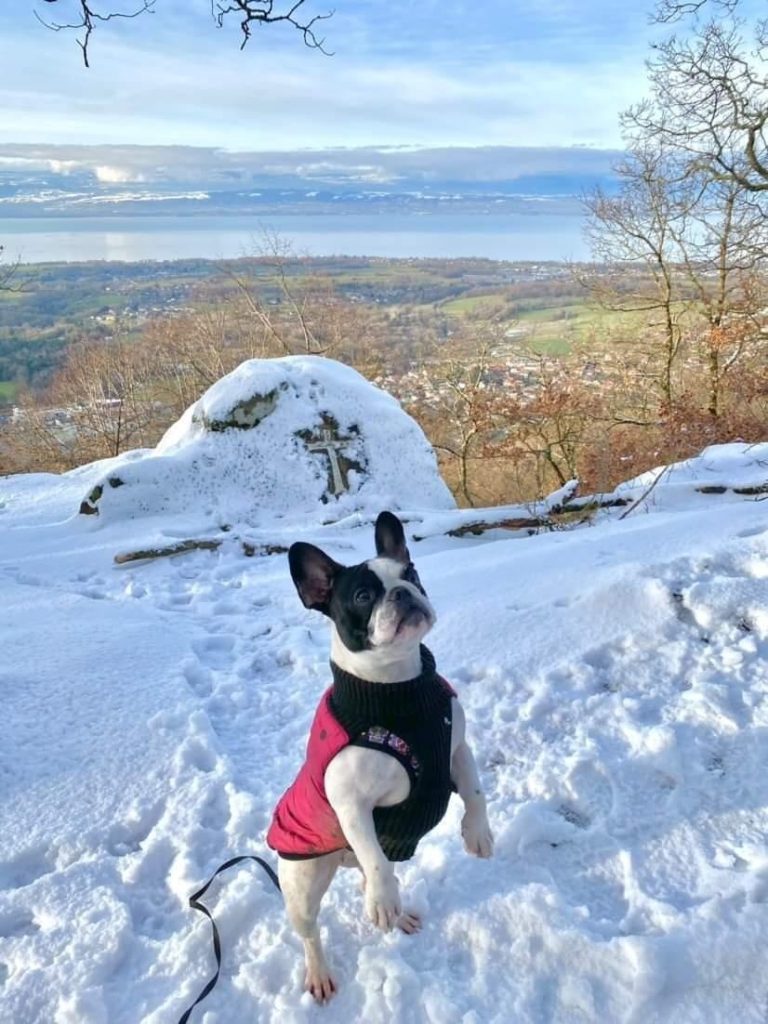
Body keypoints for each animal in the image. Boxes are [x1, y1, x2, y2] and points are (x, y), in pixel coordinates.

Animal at [268, 509, 495, 999]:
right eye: (363, 595)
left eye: (411, 573)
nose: (403, 592)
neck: (396, 688)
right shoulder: (351, 803)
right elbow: (374, 854)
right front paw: (385, 900)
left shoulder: (456, 748)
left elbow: (475, 793)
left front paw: (477, 834)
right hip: (302, 887)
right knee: (316, 927)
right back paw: (322, 970)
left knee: (367, 875)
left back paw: (396, 910)